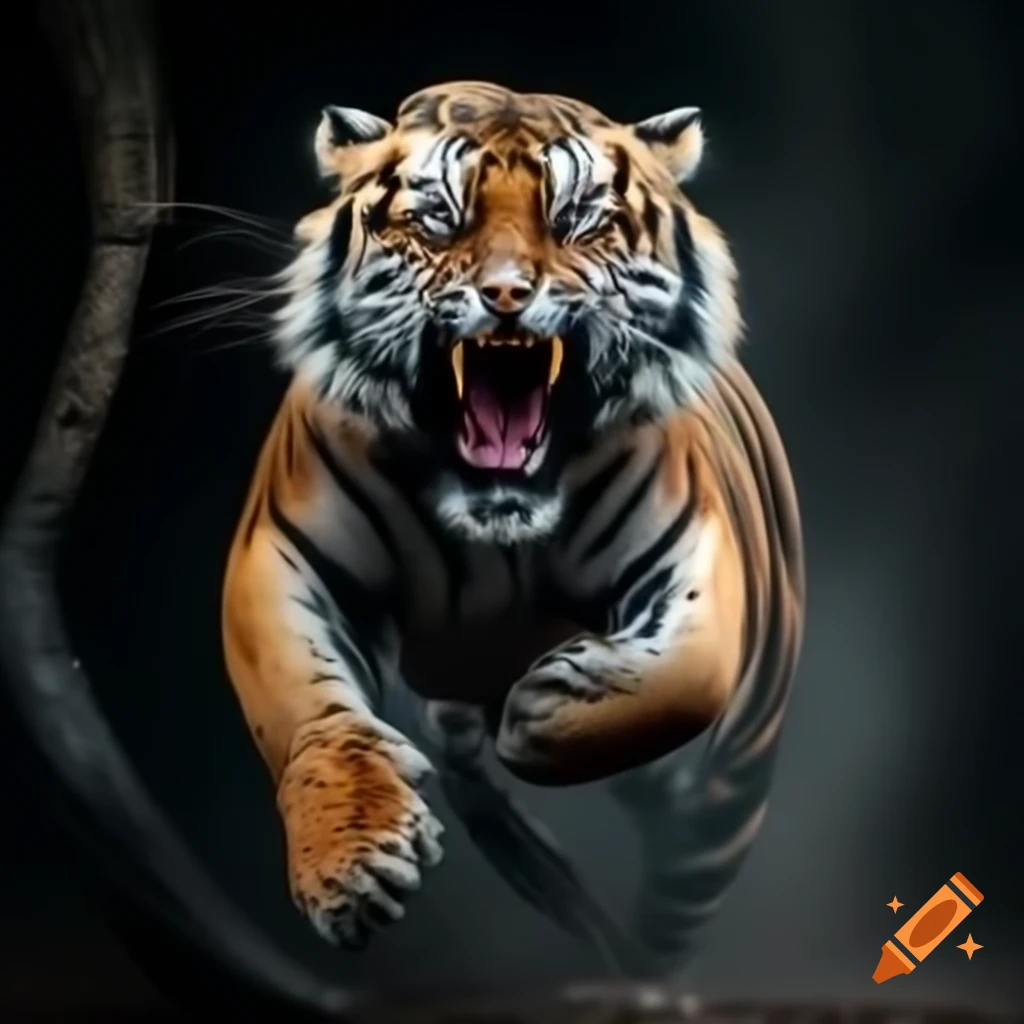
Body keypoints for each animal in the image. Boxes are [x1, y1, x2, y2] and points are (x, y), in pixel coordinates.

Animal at [221, 80, 805, 972]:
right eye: (439, 217)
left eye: (577, 217)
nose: (505, 295)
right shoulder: (284, 556)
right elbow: (311, 720)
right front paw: (353, 863)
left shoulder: (696, 562)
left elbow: (683, 676)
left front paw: (549, 706)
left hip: (724, 799)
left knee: (674, 903)